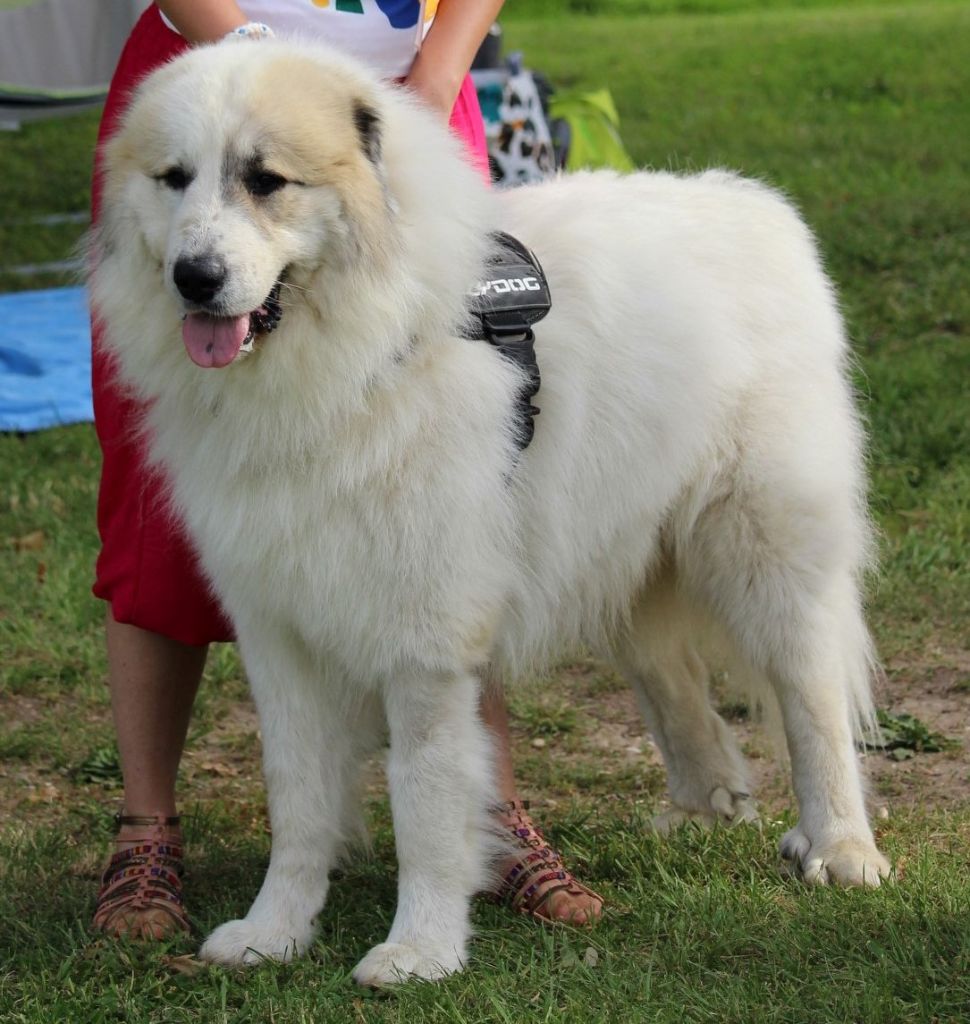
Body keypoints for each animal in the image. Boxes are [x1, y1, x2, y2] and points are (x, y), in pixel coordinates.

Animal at [89, 37, 889, 983]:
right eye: (174, 178)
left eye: (266, 180)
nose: (195, 277)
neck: (363, 354)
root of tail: (754, 205)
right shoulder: (280, 633)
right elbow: (296, 796)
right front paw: (274, 931)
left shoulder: (425, 644)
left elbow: (426, 801)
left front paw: (419, 950)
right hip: (616, 543)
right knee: (670, 674)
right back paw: (703, 805)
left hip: (764, 548)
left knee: (812, 693)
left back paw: (840, 847)